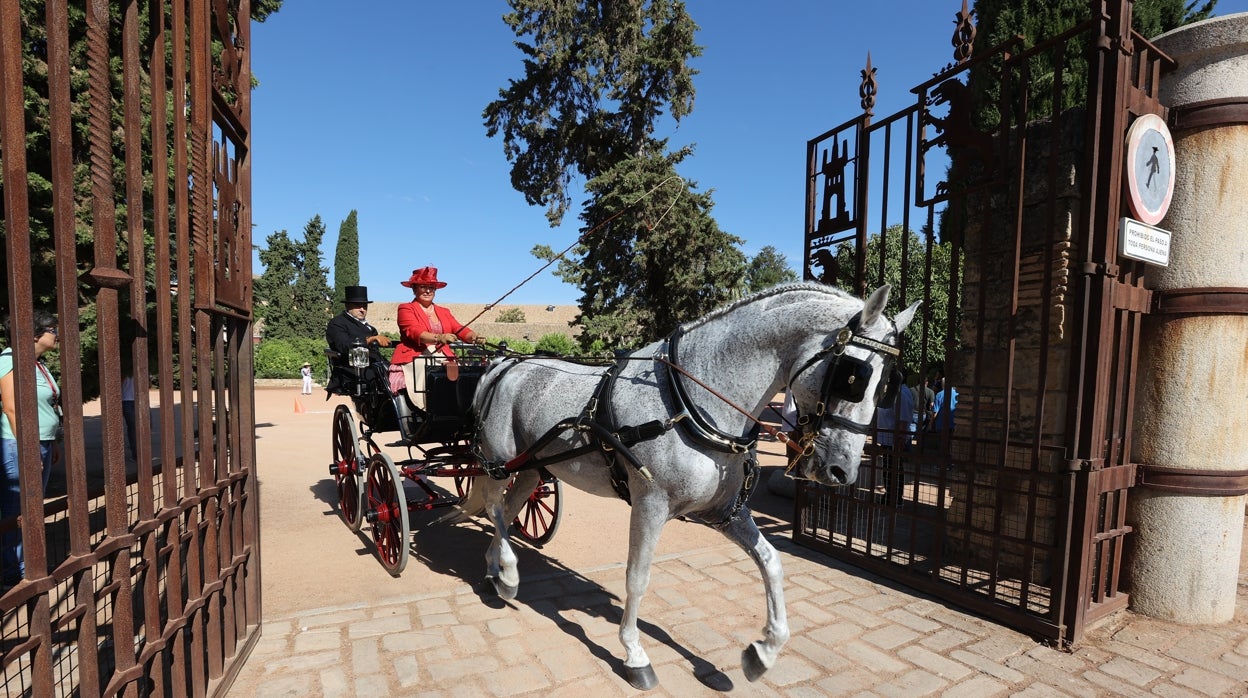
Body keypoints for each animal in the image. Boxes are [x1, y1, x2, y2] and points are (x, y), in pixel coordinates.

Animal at [459, 282, 918, 689]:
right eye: (854, 377)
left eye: (890, 383)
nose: (842, 470)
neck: (691, 401)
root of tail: (503, 365)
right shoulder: (650, 504)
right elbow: (637, 578)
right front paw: (634, 654)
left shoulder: (724, 512)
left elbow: (771, 562)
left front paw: (764, 651)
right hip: (499, 461)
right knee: (496, 507)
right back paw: (509, 572)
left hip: (533, 468)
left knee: (511, 509)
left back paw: (495, 569)